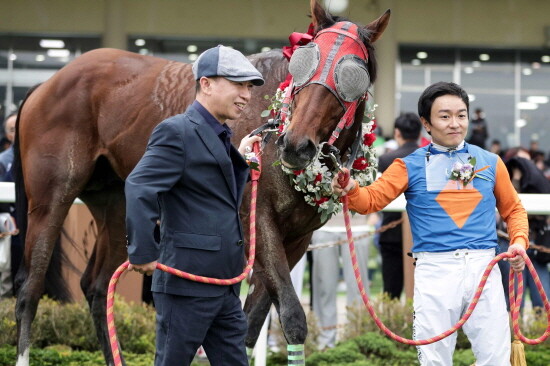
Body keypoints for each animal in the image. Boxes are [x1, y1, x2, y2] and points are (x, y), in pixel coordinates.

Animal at [14, 1, 392, 364]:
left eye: (353, 74)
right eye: (302, 64)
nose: (296, 146)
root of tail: (47, 83)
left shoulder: (297, 238)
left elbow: (250, 324)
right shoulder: (257, 219)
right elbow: (292, 316)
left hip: (117, 203)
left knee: (97, 285)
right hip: (52, 197)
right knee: (29, 287)